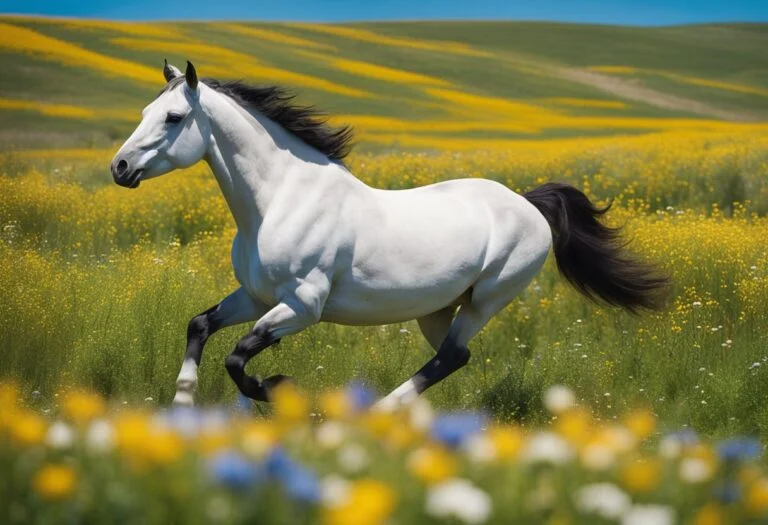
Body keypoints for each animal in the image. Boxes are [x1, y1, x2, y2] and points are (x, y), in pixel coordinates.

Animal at [110, 60, 668, 409]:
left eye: (174, 117)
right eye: (143, 114)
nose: (119, 168)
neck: (280, 201)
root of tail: (527, 204)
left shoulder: (304, 305)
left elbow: (238, 355)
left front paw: (278, 389)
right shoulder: (255, 295)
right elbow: (200, 325)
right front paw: (182, 399)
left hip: (487, 300)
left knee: (450, 357)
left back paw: (380, 412)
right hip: (437, 308)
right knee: (454, 357)